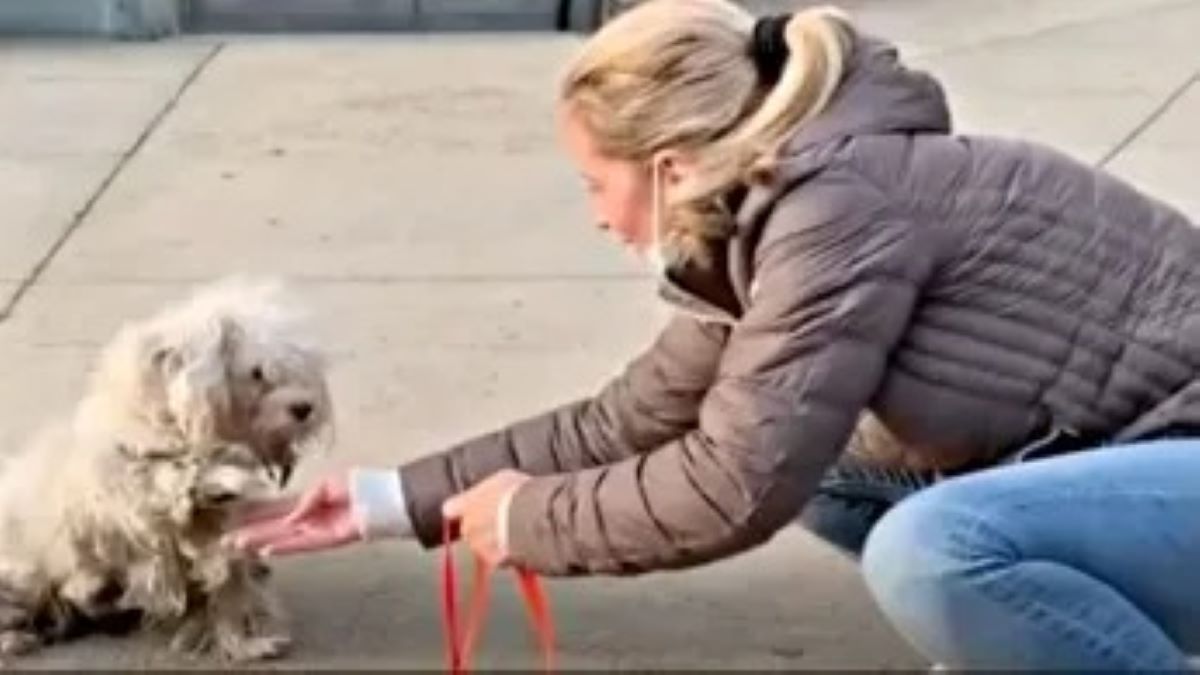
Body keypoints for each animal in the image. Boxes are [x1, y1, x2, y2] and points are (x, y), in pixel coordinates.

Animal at [0, 276, 333, 658]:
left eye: (300, 370)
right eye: (257, 373)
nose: (305, 407)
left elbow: (229, 587)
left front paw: (245, 638)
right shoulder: (146, 512)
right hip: (22, 574)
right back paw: (19, 634)